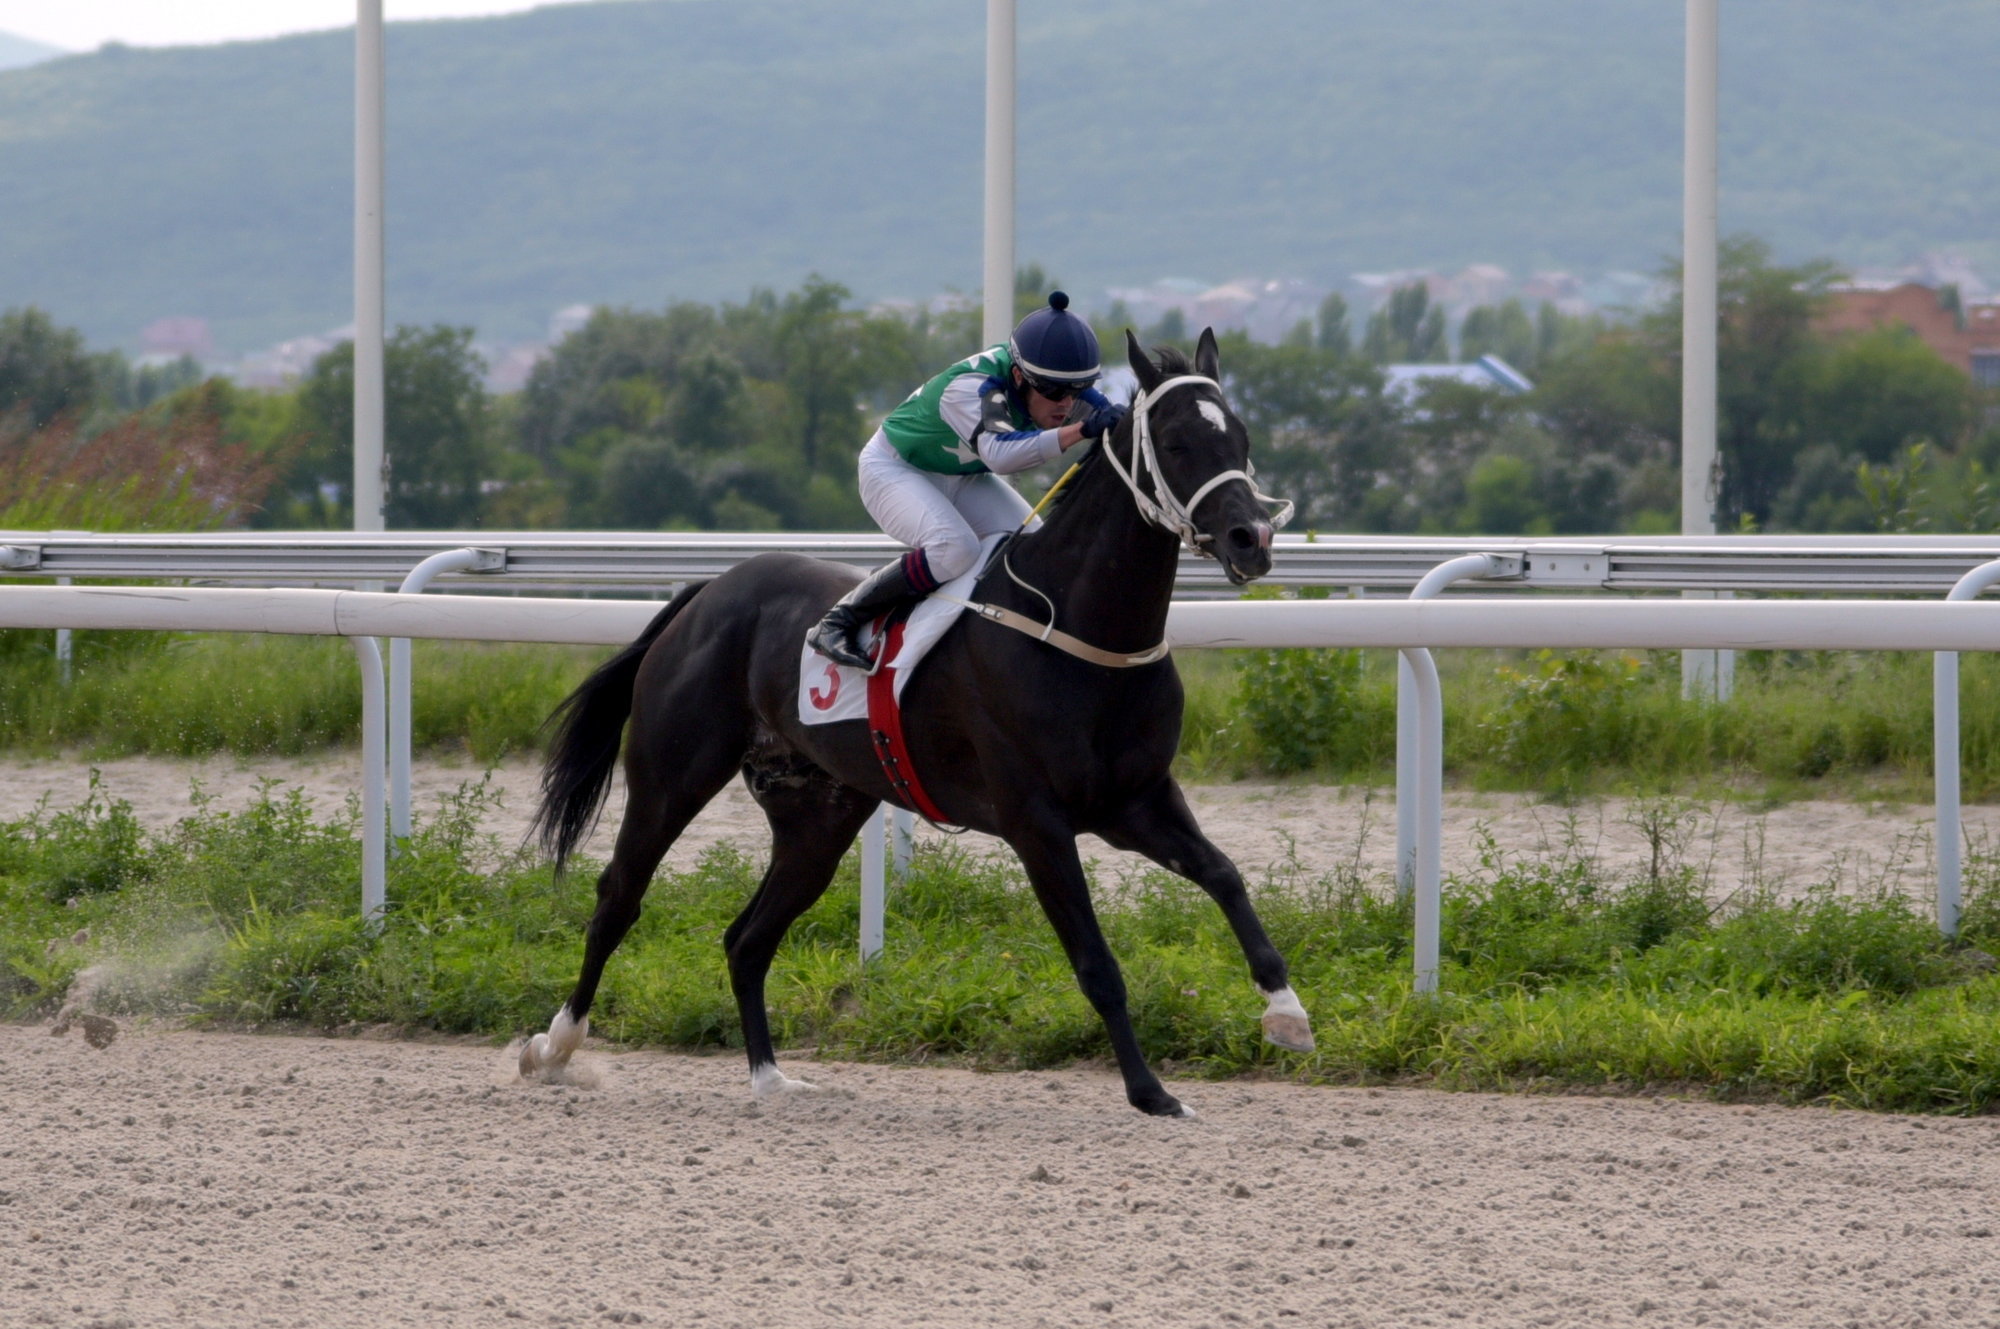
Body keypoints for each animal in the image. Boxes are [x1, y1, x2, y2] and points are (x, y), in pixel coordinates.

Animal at [524, 326, 1320, 1112]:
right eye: (1178, 442)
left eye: (1242, 437)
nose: (1252, 538)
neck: (1083, 630)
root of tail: (708, 591)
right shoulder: (1038, 821)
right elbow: (1096, 963)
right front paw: (1151, 1091)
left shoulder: (1136, 799)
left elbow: (1224, 875)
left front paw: (1287, 1014)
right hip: (672, 776)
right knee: (619, 897)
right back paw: (554, 1047)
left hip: (817, 816)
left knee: (747, 938)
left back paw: (771, 1077)